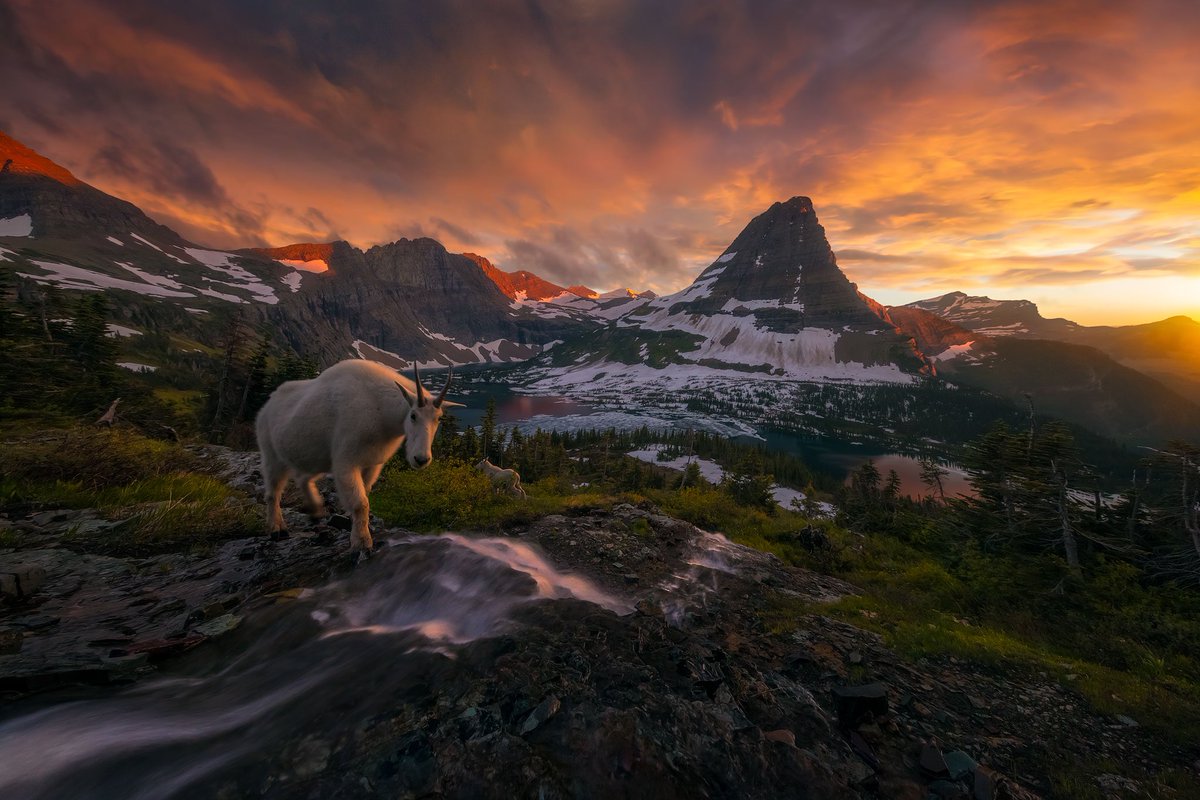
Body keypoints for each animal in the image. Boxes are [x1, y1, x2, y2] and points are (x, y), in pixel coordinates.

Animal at [256, 359, 461, 552]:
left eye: (439, 418)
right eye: (413, 415)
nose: (421, 459)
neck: (380, 410)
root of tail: (266, 406)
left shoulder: (373, 464)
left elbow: (365, 493)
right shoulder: (346, 461)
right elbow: (360, 503)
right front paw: (361, 542)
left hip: (316, 458)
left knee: (303, 478)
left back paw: (315, 510)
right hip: (272, 454)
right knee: (273, 492)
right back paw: (277, 529)